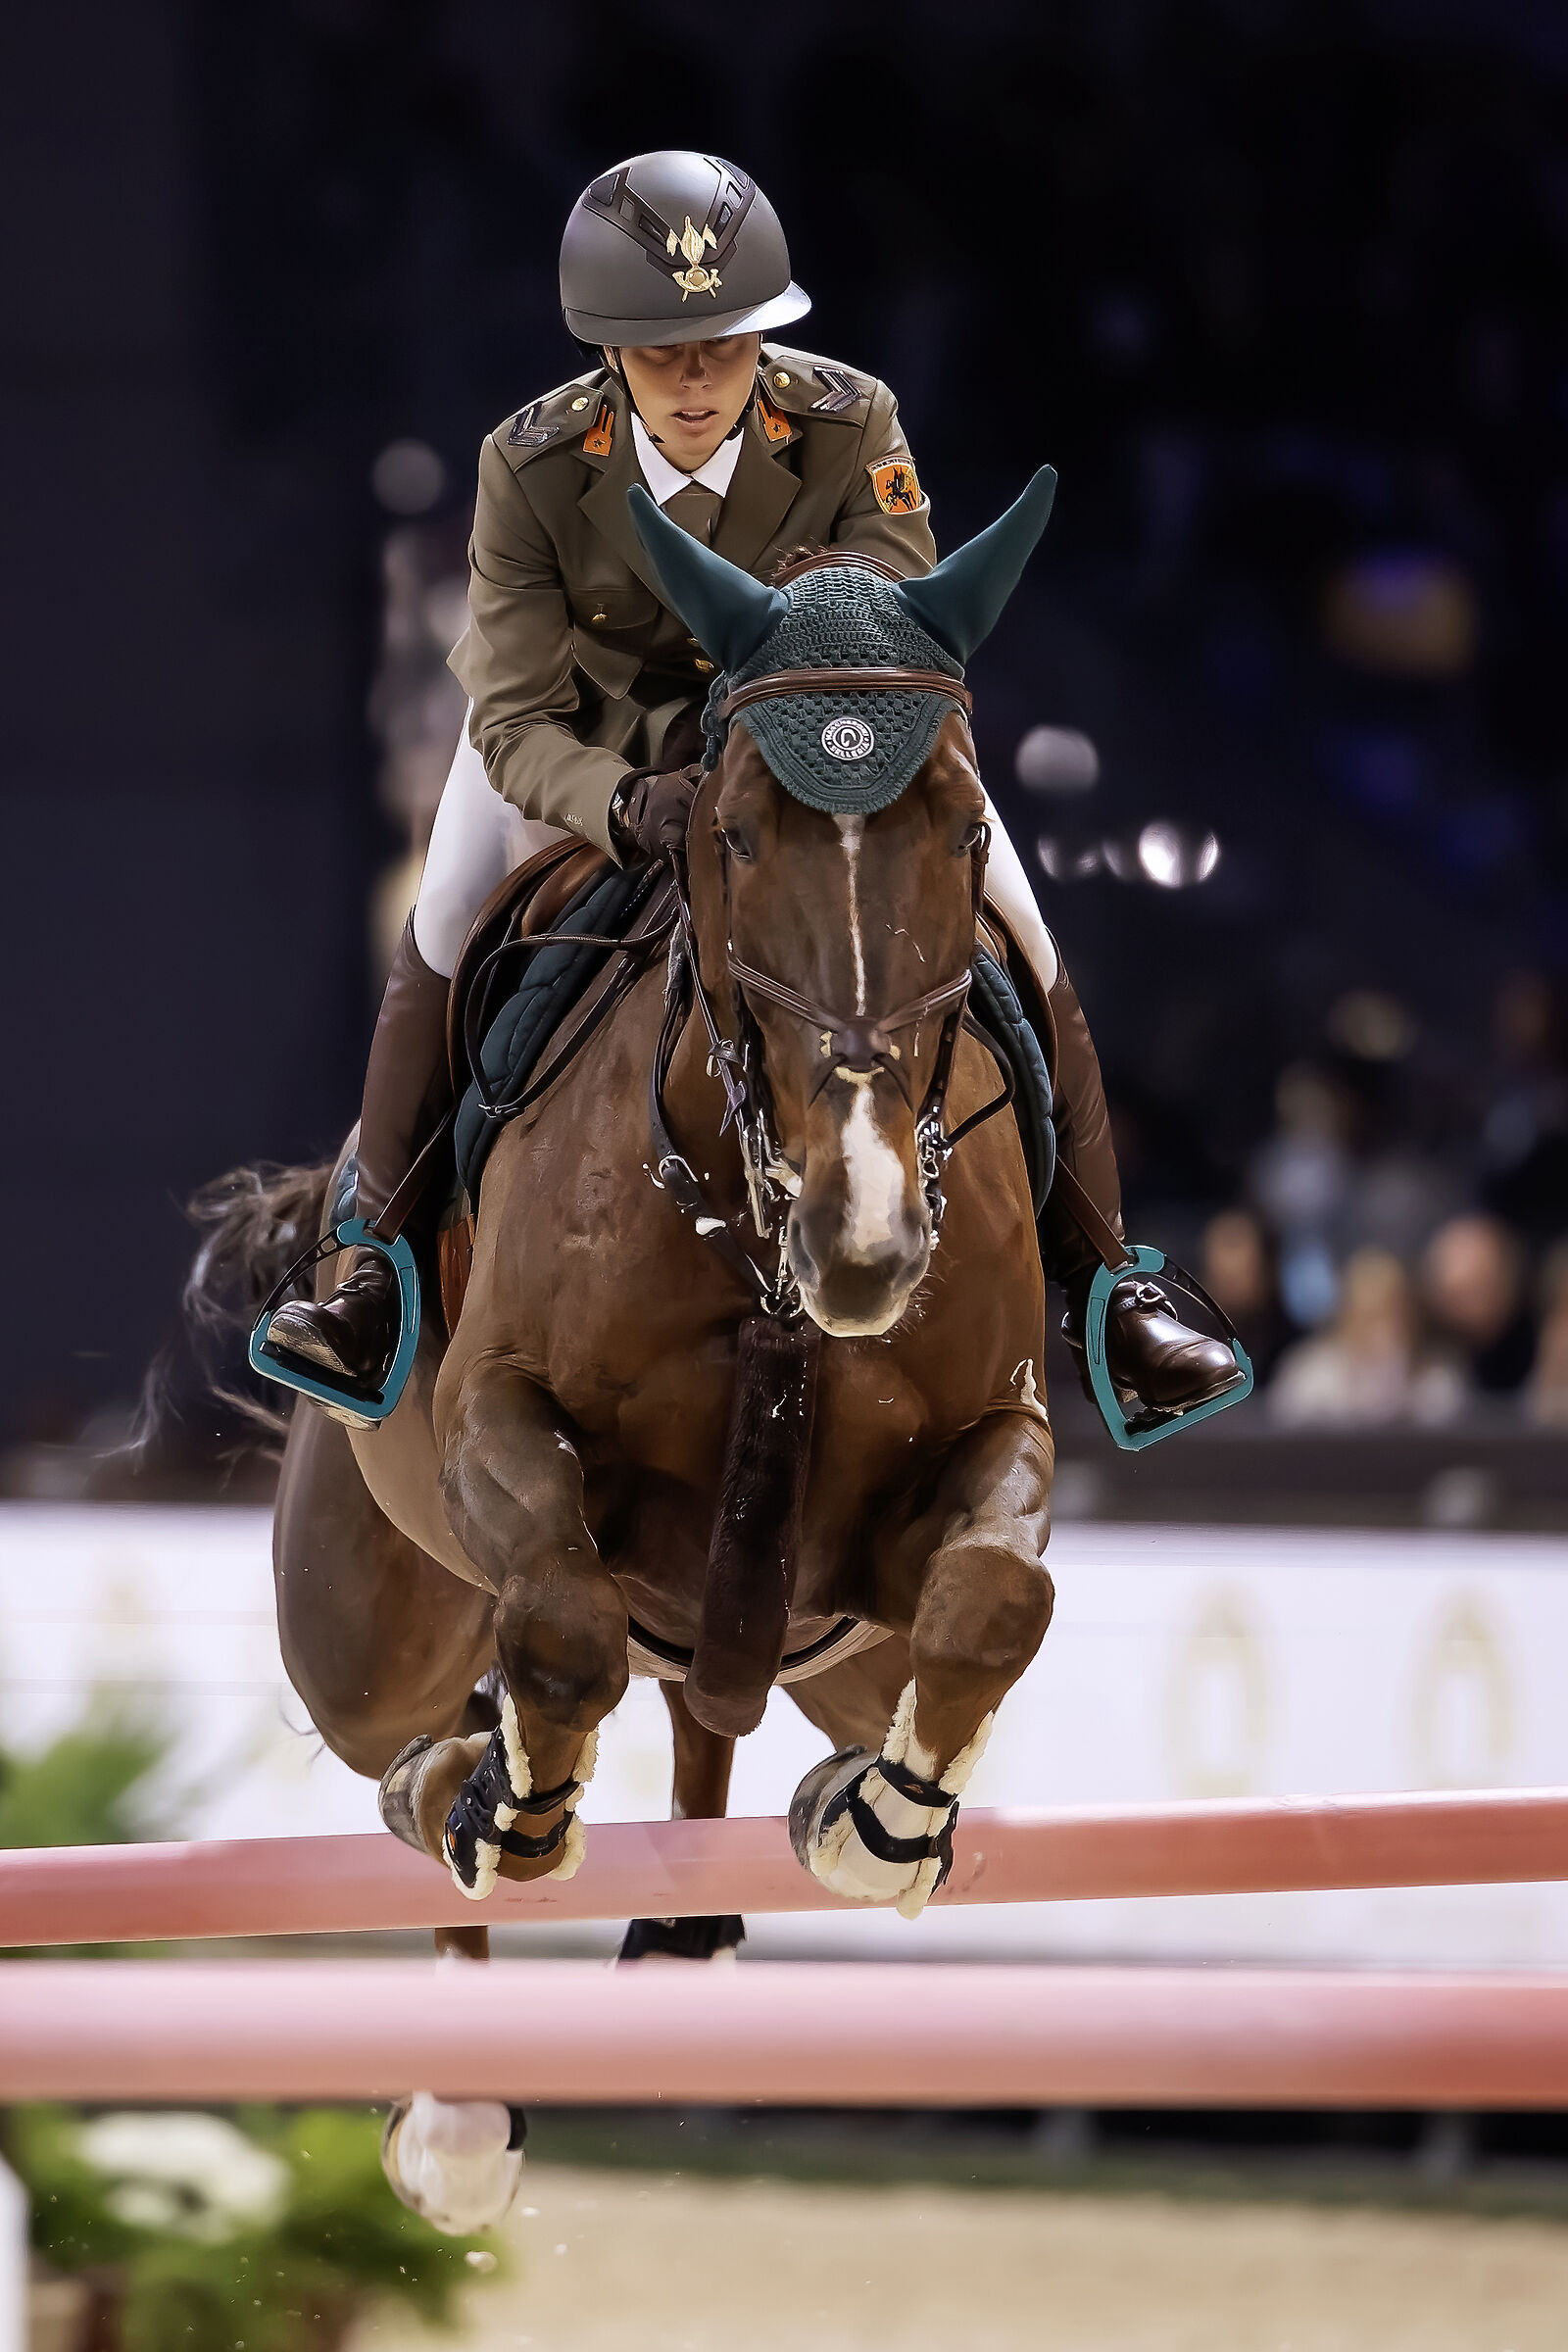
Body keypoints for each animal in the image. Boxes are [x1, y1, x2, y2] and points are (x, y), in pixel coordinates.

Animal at [184, 469, 1060, 2232]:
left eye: (965, 829)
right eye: (731, 833)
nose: (870, 1244)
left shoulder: (964, 1462)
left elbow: (998, 1594)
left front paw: (881, 1831)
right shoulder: (502, 1429)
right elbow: (567, 1631)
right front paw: (507, 1812)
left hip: (841, 1659)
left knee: (762, 1713)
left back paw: (754, 1876)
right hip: (365, 1622)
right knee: (427, 1733)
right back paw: (461, 2054)